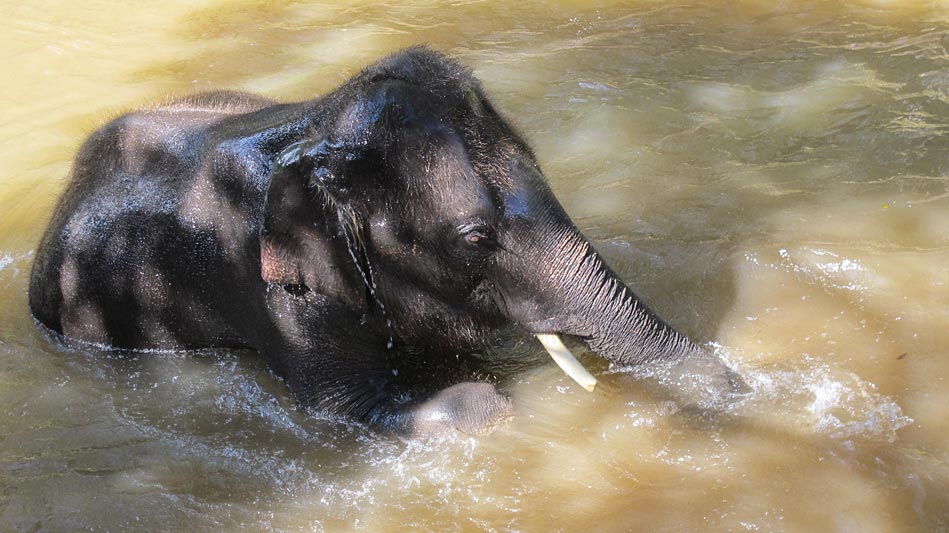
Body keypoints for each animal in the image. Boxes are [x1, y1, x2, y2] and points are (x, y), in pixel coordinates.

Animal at [29, 45, 744, 436]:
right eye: (476, 238)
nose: (737, 387)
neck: (319, 130)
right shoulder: (280, 295)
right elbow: (348, 405)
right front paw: (491, 399)